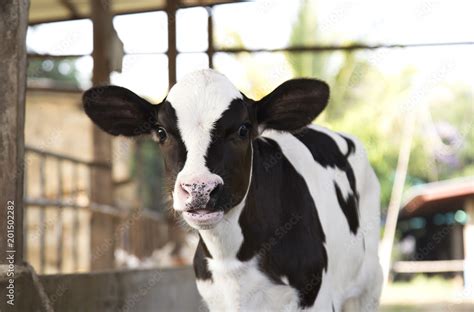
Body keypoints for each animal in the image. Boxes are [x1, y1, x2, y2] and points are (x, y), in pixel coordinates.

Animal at [83, 69, 384, 310]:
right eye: (160, 132)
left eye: (243, 129)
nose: (199, 188)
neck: (233, 259)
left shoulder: (315, 296)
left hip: (368, 287)